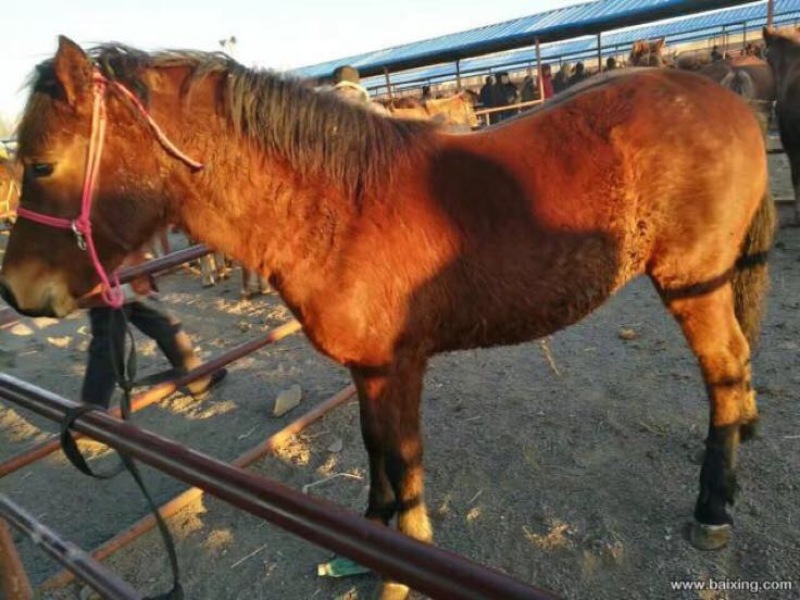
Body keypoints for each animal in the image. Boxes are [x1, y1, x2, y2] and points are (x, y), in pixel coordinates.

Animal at [0, 38, 775, 598]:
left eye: (40, 166)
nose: (16, 292)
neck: (338, 204)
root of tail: (722, 98)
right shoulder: (369, 368)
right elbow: (376, 454)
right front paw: (367, 544)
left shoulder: (396, 367)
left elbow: (403, 469)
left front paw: (399, 567)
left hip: (693, 284)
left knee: (725, 369)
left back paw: (714, 507)